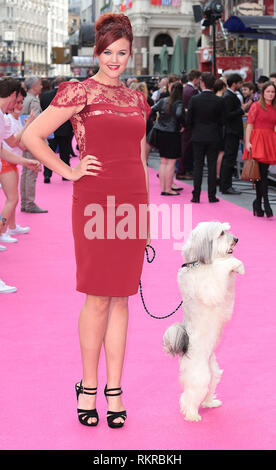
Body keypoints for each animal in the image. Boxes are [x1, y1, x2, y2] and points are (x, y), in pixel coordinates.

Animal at [163, 222, 245, 424]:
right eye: (222, 233)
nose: (236, 239)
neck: (198, 264)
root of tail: (184, 351)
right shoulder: (209, 289)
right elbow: (221, 267)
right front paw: (235, 264)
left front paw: (235, 269)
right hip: (200, 377)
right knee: (188, 397)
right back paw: (192, 414)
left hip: (213, 373)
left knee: (208, 390)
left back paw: (210, 403)